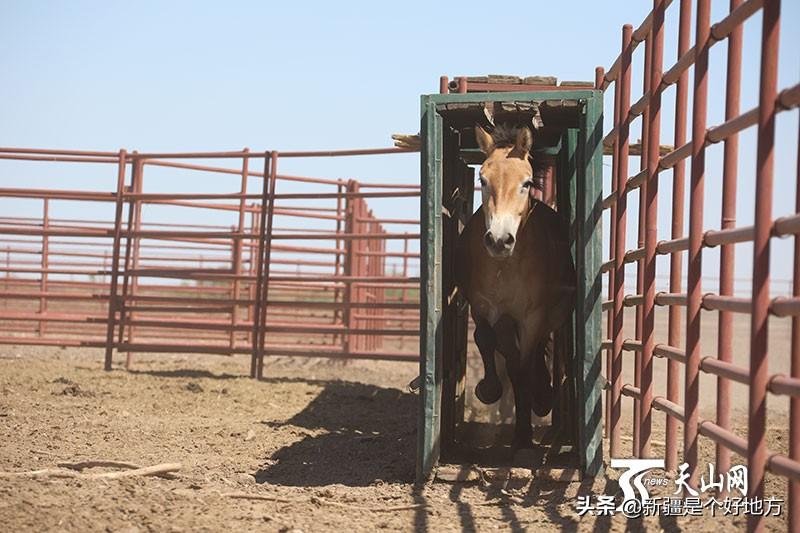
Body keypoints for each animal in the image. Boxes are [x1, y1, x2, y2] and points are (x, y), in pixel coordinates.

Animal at [456, 122, 576, 446]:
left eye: (526, 183)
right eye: (483, 179)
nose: (499, 240)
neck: (505, 266)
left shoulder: (532, 317)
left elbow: (523, 367)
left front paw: (522, 434)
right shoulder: (482, 306)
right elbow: (485, 338)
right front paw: (488, 389)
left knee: (534, 354)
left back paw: (542, 397)